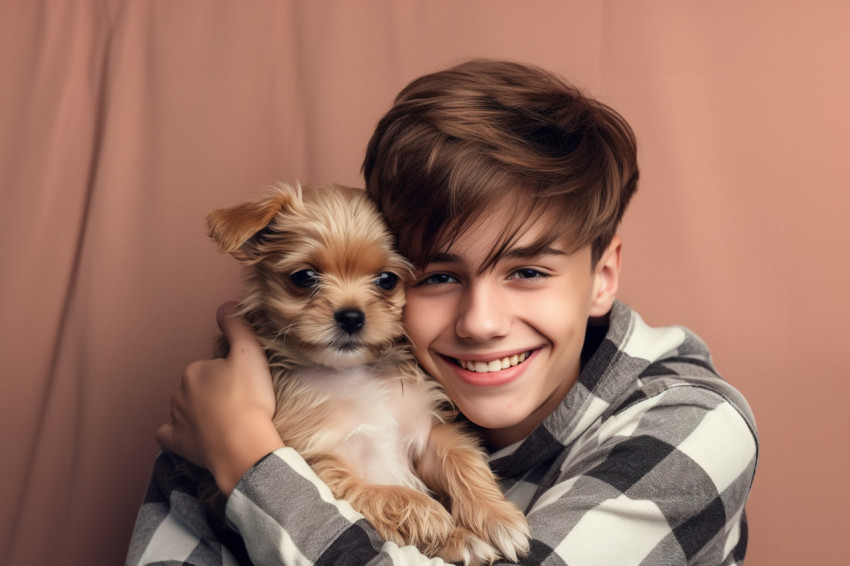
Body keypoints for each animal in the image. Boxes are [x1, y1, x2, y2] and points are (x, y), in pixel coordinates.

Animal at [205, 184, 528, 564]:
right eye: (304, 277)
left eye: (387, 280)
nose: (351, 316)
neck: (351, 373)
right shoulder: (320, 463)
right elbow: (385, 494)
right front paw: (435, 515)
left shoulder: (424, 433)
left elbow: (461, 459)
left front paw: (496, 516)